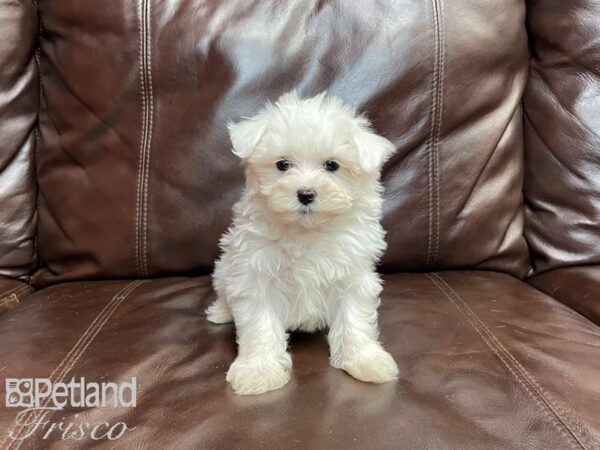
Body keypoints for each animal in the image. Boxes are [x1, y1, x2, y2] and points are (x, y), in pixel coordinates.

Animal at [206, 90, 398, 394]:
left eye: (332, 165)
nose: (305, 194)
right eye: (283, 164)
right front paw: (258, 371)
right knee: (225, 293)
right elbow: (260, 323)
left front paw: (365, 360)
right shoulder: (255, 273)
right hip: (225, 267)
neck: (307, 231)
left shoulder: (353, 274)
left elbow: (354, 319)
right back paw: (221, 312)